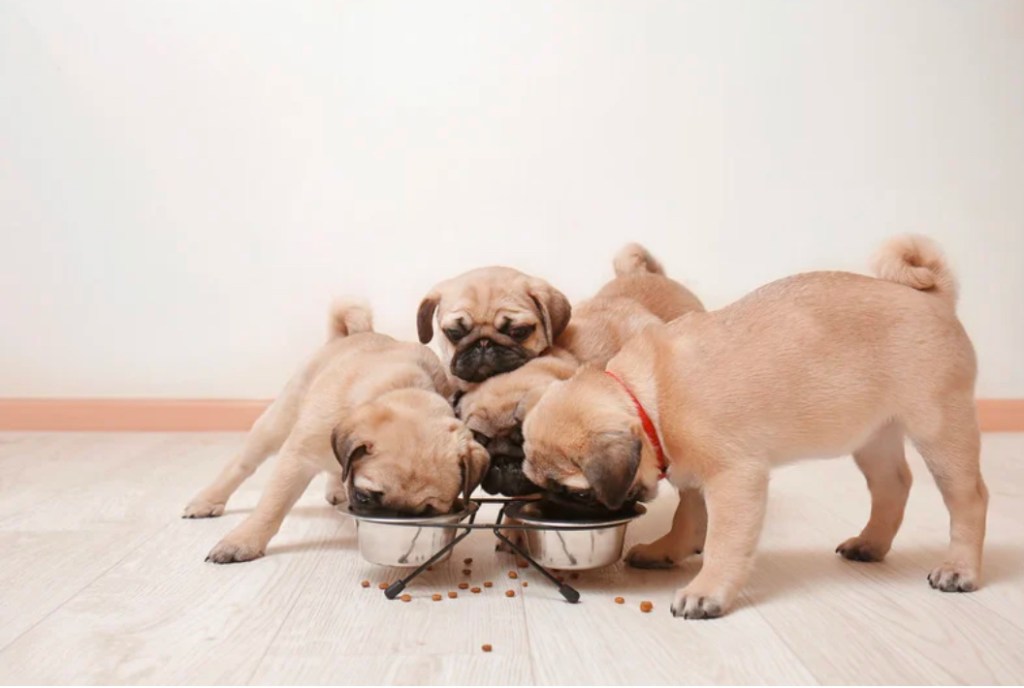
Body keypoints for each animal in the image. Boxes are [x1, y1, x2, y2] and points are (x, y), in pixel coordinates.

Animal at [183, 301, 489, 563]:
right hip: (278, 422)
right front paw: (243, 542)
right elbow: (272, 505)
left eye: (429, 512)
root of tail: (350, 335)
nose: (395, 517)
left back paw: (334, 489)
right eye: (364, 497)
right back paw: (207, 501)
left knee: (335, 466)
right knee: (242, 464)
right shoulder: (296, 458)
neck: (404, 390)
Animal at [522, 235, 986, 619]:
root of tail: (933, 298)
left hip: (940, 428)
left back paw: (959, 569)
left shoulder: (734, 479)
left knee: (969, 499)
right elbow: (688, 518)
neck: (645, 399)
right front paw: (668, 550)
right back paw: (870, 544)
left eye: (574, 492)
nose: (549, 505)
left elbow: (723, 541)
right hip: (874, 436)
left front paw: (707, 591)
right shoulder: (694, 474)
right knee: (893, 485)